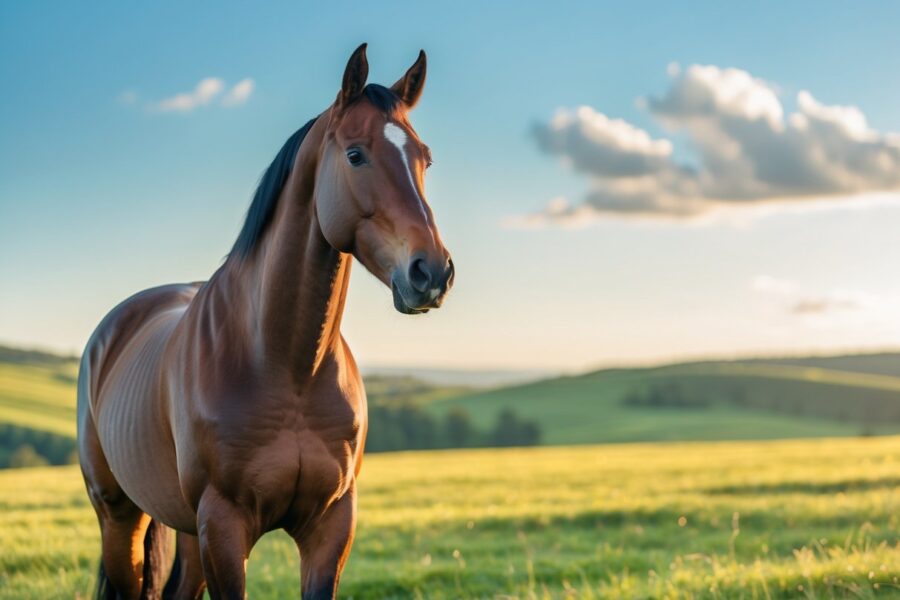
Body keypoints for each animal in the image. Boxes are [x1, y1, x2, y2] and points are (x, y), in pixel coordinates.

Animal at [77, 43, 454, 600]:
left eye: (425, 158)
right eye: (355, 154)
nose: (432, 272)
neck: (285, 364)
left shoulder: (329, 526)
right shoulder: (224, 526)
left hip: (186, 531)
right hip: (119, 518)